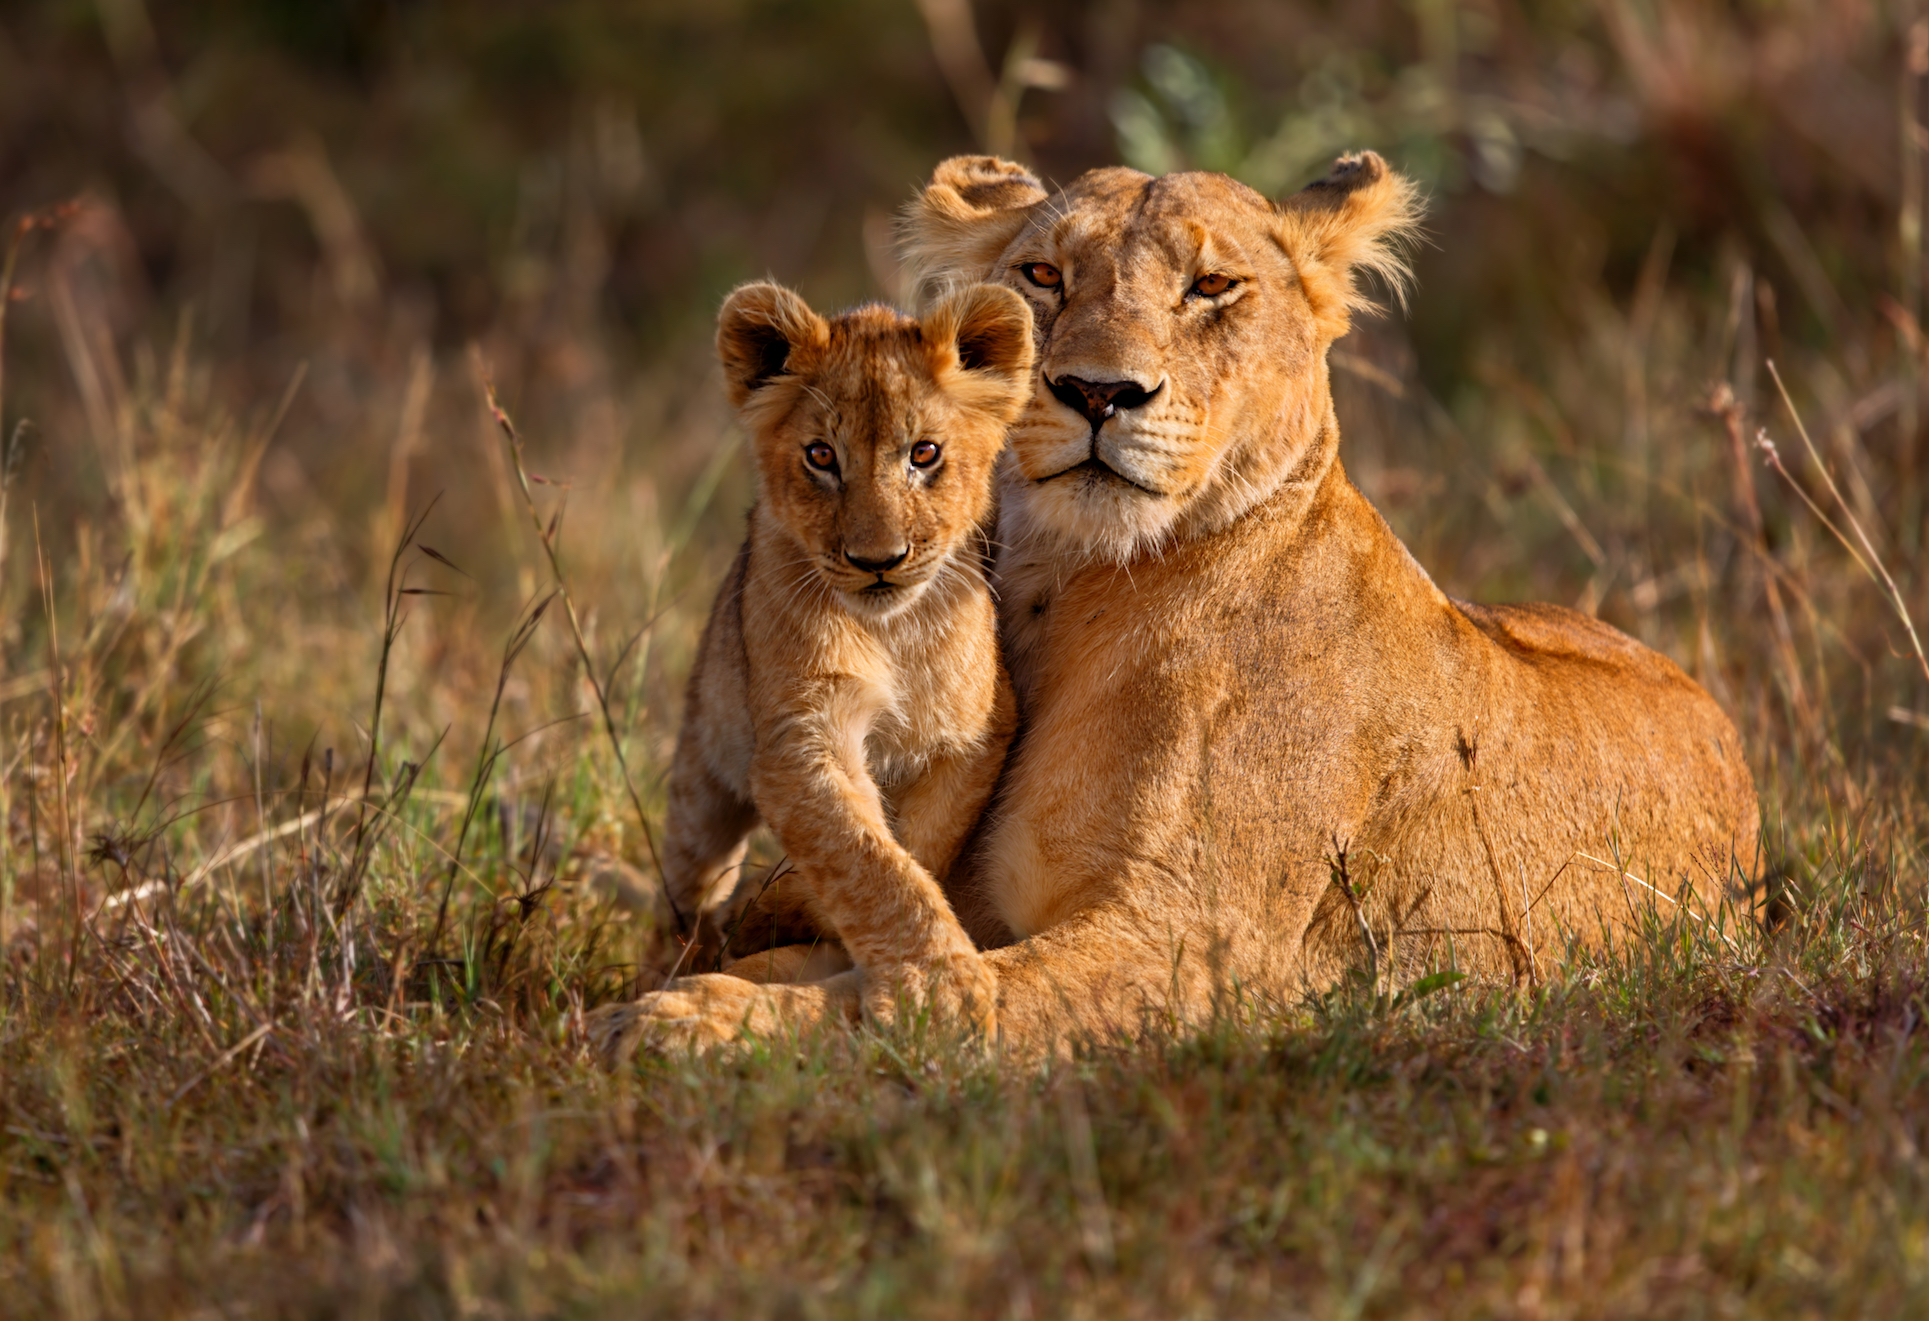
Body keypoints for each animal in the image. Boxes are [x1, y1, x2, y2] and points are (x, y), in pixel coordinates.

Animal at [601, 280, 1033, 1049]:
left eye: (924, 453)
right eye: (821, 456)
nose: (877, 560)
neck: (891, 630)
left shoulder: (975, 734)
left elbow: (914, 845)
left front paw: (801, 914)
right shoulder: (799, 739)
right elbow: (865, 858)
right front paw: (938, 990)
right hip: (702, 776)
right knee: (685, 888)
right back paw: (666, 966)